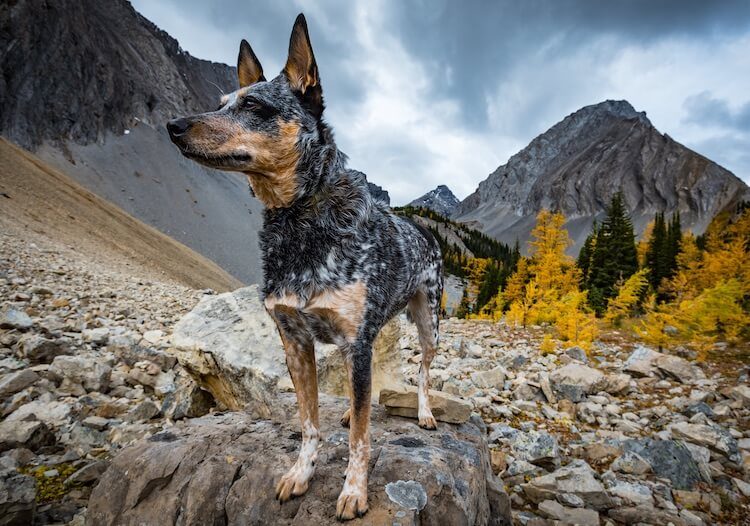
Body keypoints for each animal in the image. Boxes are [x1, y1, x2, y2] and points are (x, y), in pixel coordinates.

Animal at [167, 13, 444, 524]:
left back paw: (424, 413)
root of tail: (425, 231)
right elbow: (309, 421)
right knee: (363, 394)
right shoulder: (294, 340)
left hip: (428, 322)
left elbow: (360, 439)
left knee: (420, 372)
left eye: (254, 105)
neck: (298, 219)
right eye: (221, 103)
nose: (173, 125)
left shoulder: (354, 340)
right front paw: (302, 472)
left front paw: (354, 490)